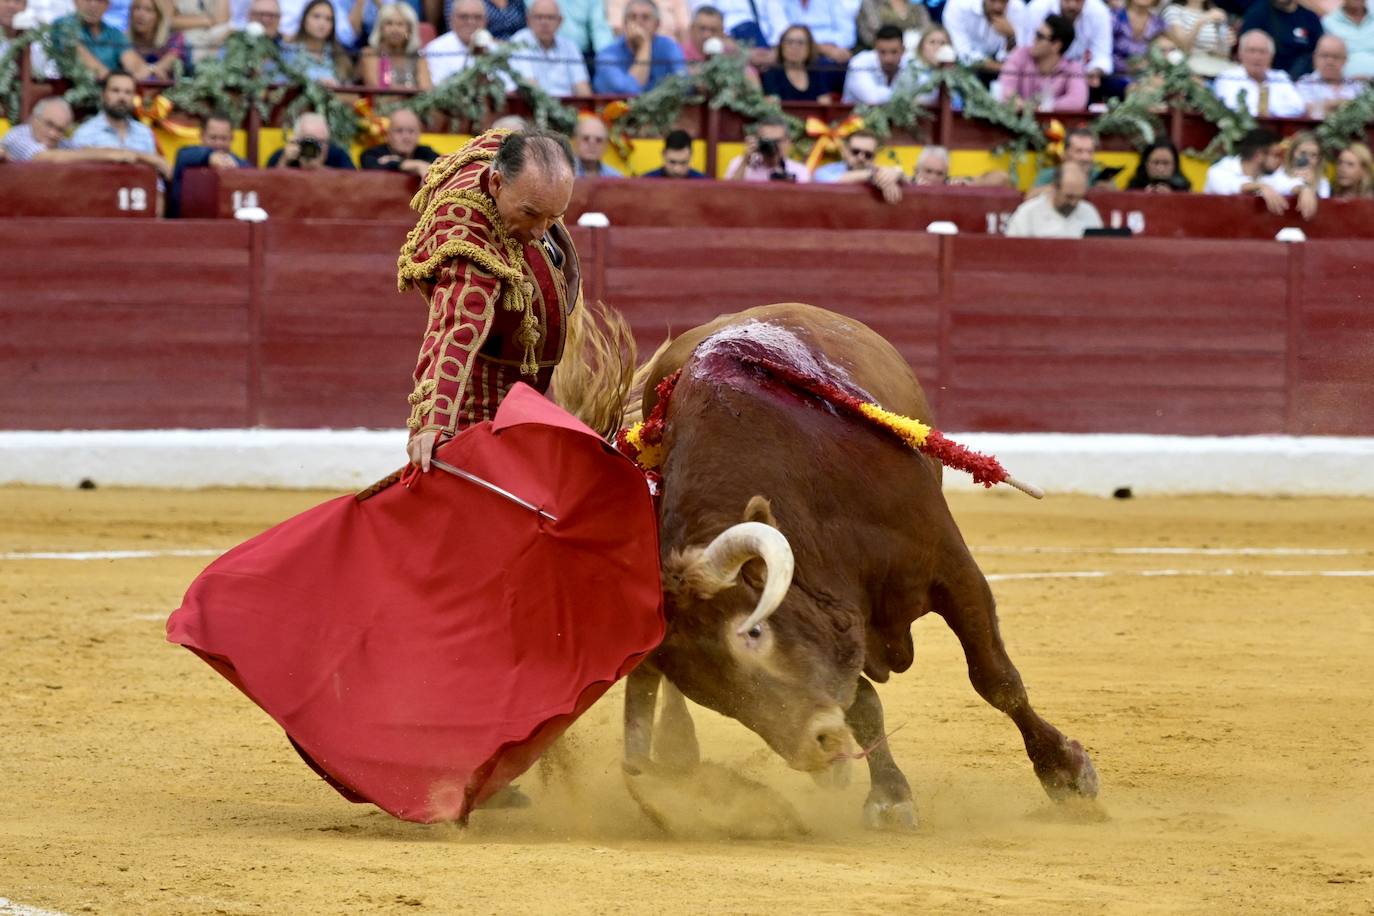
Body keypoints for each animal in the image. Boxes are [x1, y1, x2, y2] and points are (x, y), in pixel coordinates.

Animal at [621, 304, 1093, 829]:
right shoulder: (839, 620)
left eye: (754, 632)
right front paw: (889, 796)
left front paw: (1066, 773)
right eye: (703, 689)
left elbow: (996, 678)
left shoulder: (951, 567)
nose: (816, 748)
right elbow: (863, 702)